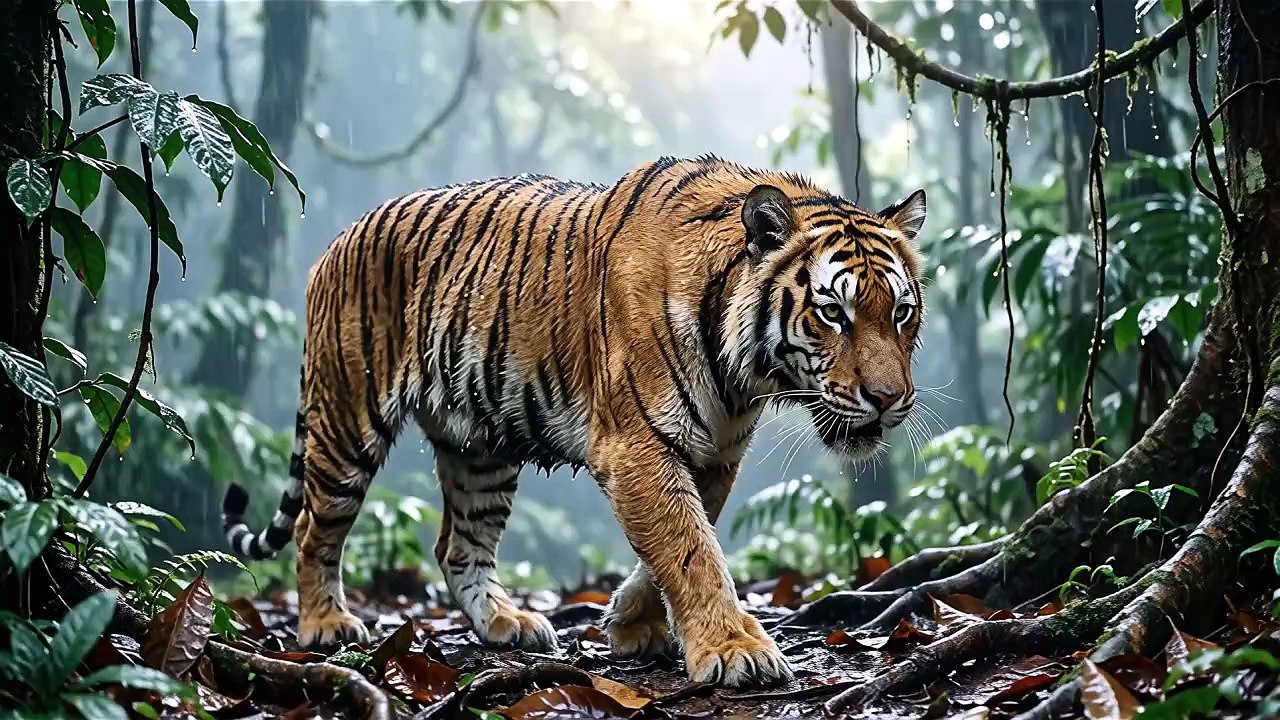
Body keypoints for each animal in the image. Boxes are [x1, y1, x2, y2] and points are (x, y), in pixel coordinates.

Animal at [221, 155, 926, 687]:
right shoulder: (635, 445)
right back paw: (324, 624)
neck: (745, 374)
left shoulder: (713, 452)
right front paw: (734, 649)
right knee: (314, 529)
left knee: (458, 546)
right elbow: (691, 548)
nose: (889, 398)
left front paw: (634, 625)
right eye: (833, 313)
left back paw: (505, 624)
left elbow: (679, 544)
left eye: (900, 313)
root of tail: (335, 242)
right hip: (347, 423)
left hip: (480, 449)